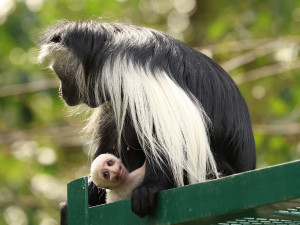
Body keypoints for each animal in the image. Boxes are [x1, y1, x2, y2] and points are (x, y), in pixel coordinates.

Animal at [38, 19, 255, 223]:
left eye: (59, 74)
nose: (61, 92)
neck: (103, 53)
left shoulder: (128, 75)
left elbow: (169, 140)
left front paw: (149, 189)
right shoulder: (113, 97)